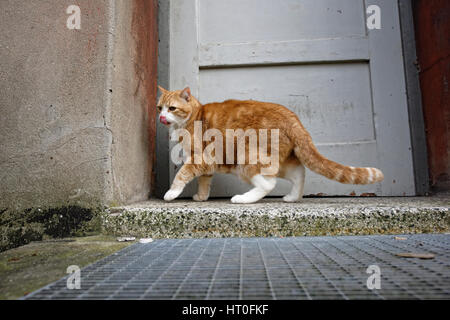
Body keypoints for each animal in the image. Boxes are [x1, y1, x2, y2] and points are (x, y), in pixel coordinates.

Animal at [156, 86, 384, 204]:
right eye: (159, 107)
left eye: (172, 108)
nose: (160, 116)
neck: (193, 117)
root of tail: (293, 118)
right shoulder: (205, 164)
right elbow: (204, 181)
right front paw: (201, 197)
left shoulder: (201, 158)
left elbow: (182, 175)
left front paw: (171, 193)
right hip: (282, 161)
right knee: (298, 174)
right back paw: (292, 197)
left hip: (247, 159)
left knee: (268, 184)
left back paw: (243, 199)